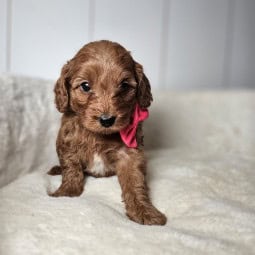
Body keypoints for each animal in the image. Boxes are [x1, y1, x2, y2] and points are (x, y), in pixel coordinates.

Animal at [47, 39, 167, 225]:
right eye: (85, 86)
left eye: (124, 85)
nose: (107, 120)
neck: (98, 135)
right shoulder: (67, 143)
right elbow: (71, 168)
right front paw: (66, 192)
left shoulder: (130, 154)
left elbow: (135, 182)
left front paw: (144, 211)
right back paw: (55, 169)